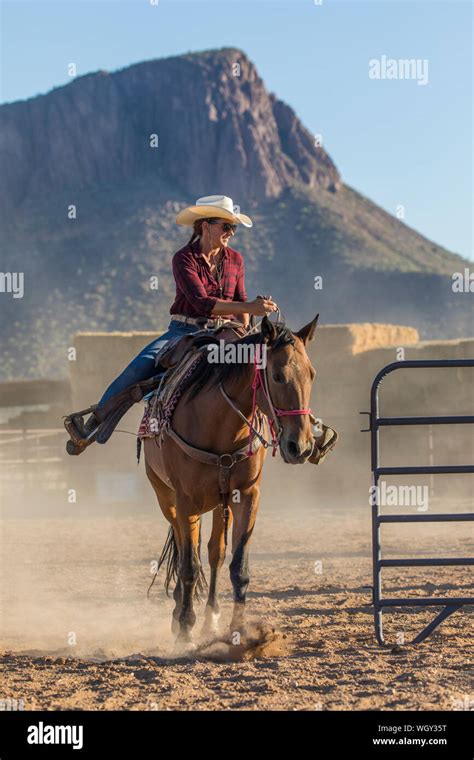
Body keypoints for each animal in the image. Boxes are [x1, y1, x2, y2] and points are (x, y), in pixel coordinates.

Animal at [143, 314, 316, 648]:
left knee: (215, 554)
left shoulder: (247, 496)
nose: (299, 447)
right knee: (184, 548)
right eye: (277, 376)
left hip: (218, 503)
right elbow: (188, 566)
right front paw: (185, 631)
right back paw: (180, 615)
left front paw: (239, 632)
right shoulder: (186, 501)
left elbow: (238, 567)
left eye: (311, 375)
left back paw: (211, 620)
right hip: (165, 498)